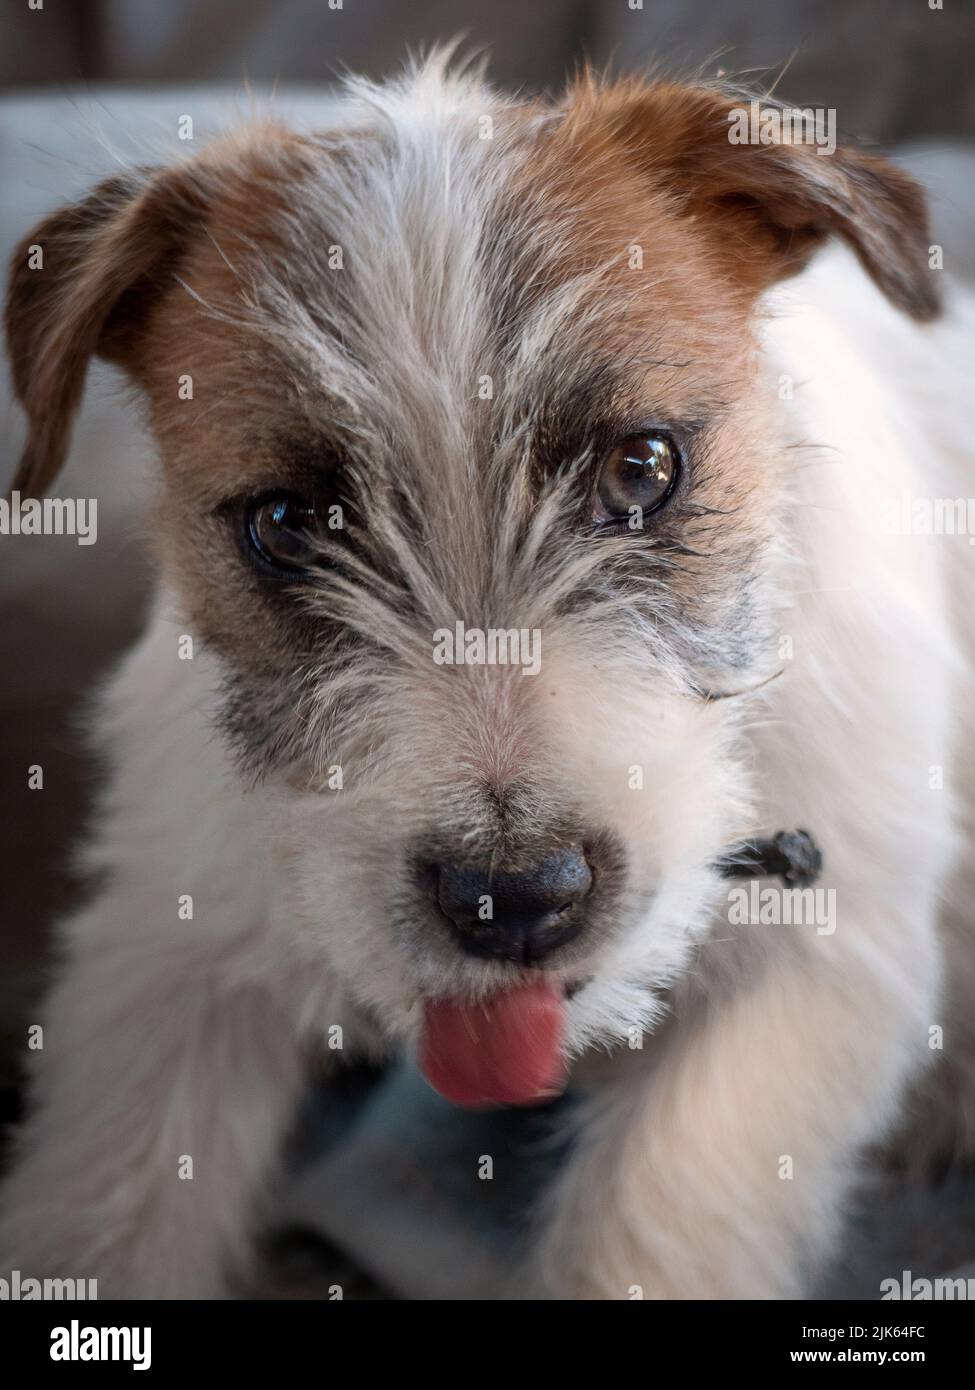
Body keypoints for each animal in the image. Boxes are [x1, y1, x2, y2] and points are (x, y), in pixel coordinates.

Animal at [1, 51, 973, 1289]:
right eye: (288, 524)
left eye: (643, 468)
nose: (513, 899)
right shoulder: (170, 969)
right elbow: (106, 1212)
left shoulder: (805, 973)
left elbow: (656, 1221)